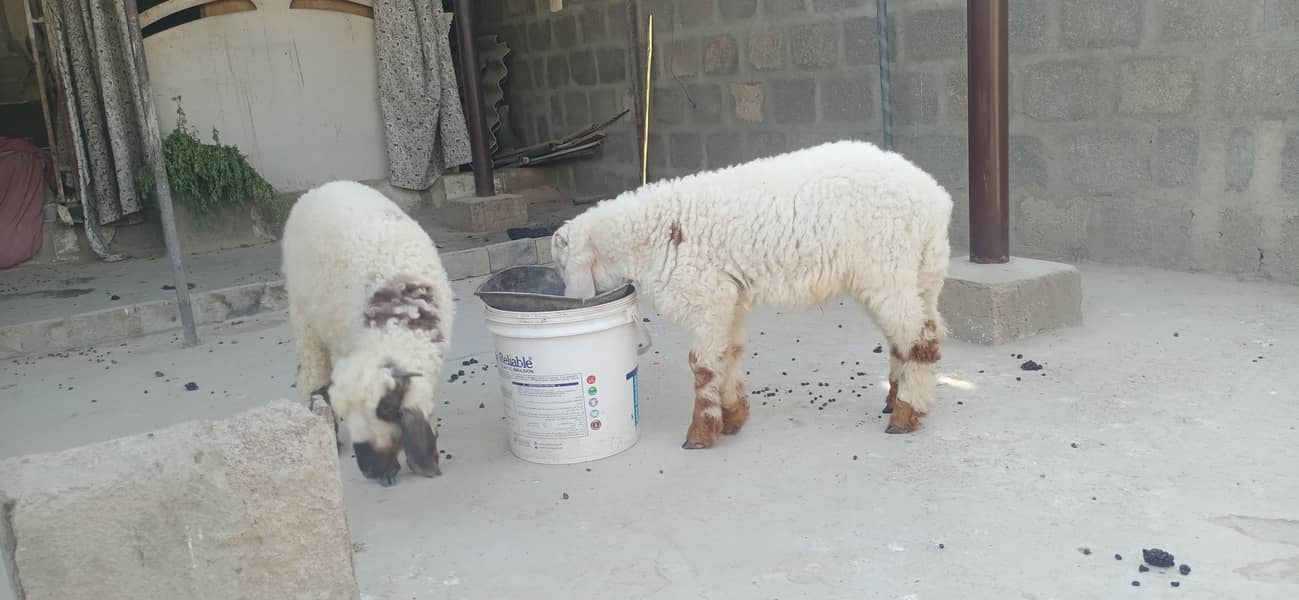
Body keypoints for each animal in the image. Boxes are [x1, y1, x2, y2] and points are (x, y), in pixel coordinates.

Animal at [281, 180, 455, 485]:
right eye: (346, 413)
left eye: (386, 410)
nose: (369, 469)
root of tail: (323, 186)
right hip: (301, 310)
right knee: (312, 372)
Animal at [551, 140, 953, 450]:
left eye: (560, 265)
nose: (568, 297)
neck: (656, 233)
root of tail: (935, 199)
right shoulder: (730, 298)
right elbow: (728, 356)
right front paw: (732, 418)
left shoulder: (707, 296)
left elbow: (702, 365)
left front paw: (700, 434)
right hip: (920, 272)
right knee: (911, 334)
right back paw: (895, 398)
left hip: (889, 266)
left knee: (921, 339)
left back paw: (905, 414)